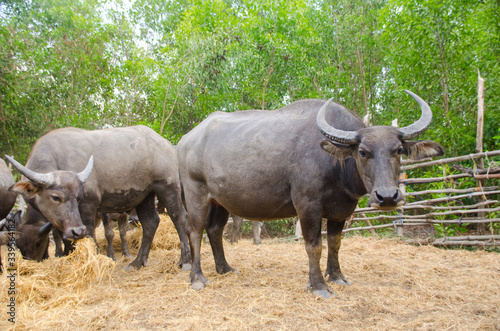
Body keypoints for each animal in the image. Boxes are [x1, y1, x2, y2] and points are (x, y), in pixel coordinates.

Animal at [7, 126, 191, 272]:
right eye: (55, 197)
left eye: (78, 196)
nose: (77, 231)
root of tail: (164, 143)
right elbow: (66, 238)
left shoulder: (90, 206)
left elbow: (89, 234)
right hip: (144, 196)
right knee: (151, 222)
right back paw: (137, 262)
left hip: (168, 187)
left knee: (179, 218)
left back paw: (185, 261)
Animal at [178, 90, 444, 298]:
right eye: (363, 152)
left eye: (398, 150)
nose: (387, 197)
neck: (334, 164)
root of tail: (185, 141)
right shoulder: (307, 206)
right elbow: (314, 245)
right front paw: (319, 286)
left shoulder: (340, 210)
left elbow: (335, 243)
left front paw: (336, 276)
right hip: (195, 194)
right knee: (195, 231)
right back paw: (197, 278)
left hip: (220, 201)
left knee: (214, 230)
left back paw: (225, 268)